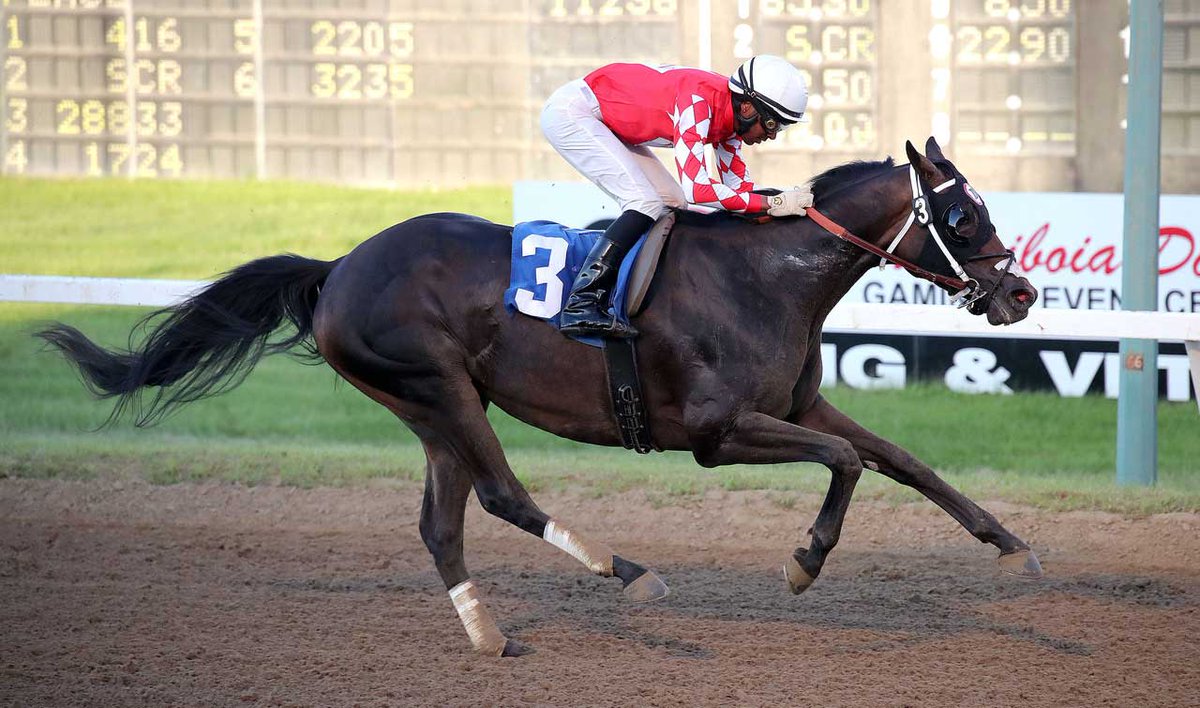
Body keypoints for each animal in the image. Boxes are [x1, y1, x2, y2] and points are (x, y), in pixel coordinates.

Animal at [38, 138, 1043, 657]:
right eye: (962, 215)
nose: (1021, 293)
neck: (765, 276)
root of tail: (338, 266)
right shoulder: (717, 433)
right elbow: (845, 465)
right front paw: (804, 561)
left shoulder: (793, 408)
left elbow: (901, 460)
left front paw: (1012, 546)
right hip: (437, 388)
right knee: (502, 497)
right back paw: (626, 573)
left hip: (432, 409)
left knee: (442, 523)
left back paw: (488, 634)